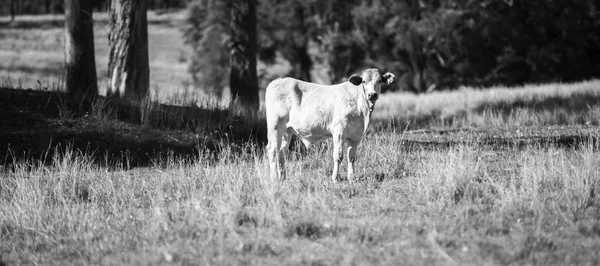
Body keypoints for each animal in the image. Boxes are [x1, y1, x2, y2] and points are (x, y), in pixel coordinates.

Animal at [266, 68, 396, 183]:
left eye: (379, 81)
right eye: (364, 81)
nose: (372, 94)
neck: (362, 110)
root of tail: (277, 81)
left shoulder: (356, 136)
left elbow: (351, 157)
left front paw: (351, 178)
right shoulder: (339, 131)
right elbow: (338, 155)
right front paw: (335, 178)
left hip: (287, 130)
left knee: (281, 151)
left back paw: (283, 178)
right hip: (275, 126)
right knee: (273, 150)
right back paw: (274, 179)